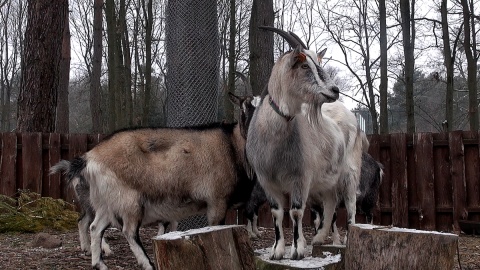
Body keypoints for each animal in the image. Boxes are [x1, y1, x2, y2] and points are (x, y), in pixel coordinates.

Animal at [49, 123, 255, 270]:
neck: (231, 146)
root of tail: (89, 158)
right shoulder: (217, 200)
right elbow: (214, 225)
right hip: (128, 201)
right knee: (127, 231)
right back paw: (146, 264)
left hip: (108, 203)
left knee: (94, 226)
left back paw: (99, 263)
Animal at [248, 26, 364, 260]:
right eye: (304, 65)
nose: (334, 90)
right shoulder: (267, 181)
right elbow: (277, 213)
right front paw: (277, 250)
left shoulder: (300, 178)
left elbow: (295, 212)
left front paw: (296, 251)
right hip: (325, 179)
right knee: (330, 203)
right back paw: (319, 238)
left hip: (349, 172)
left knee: (350, 204)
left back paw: (347, 239)